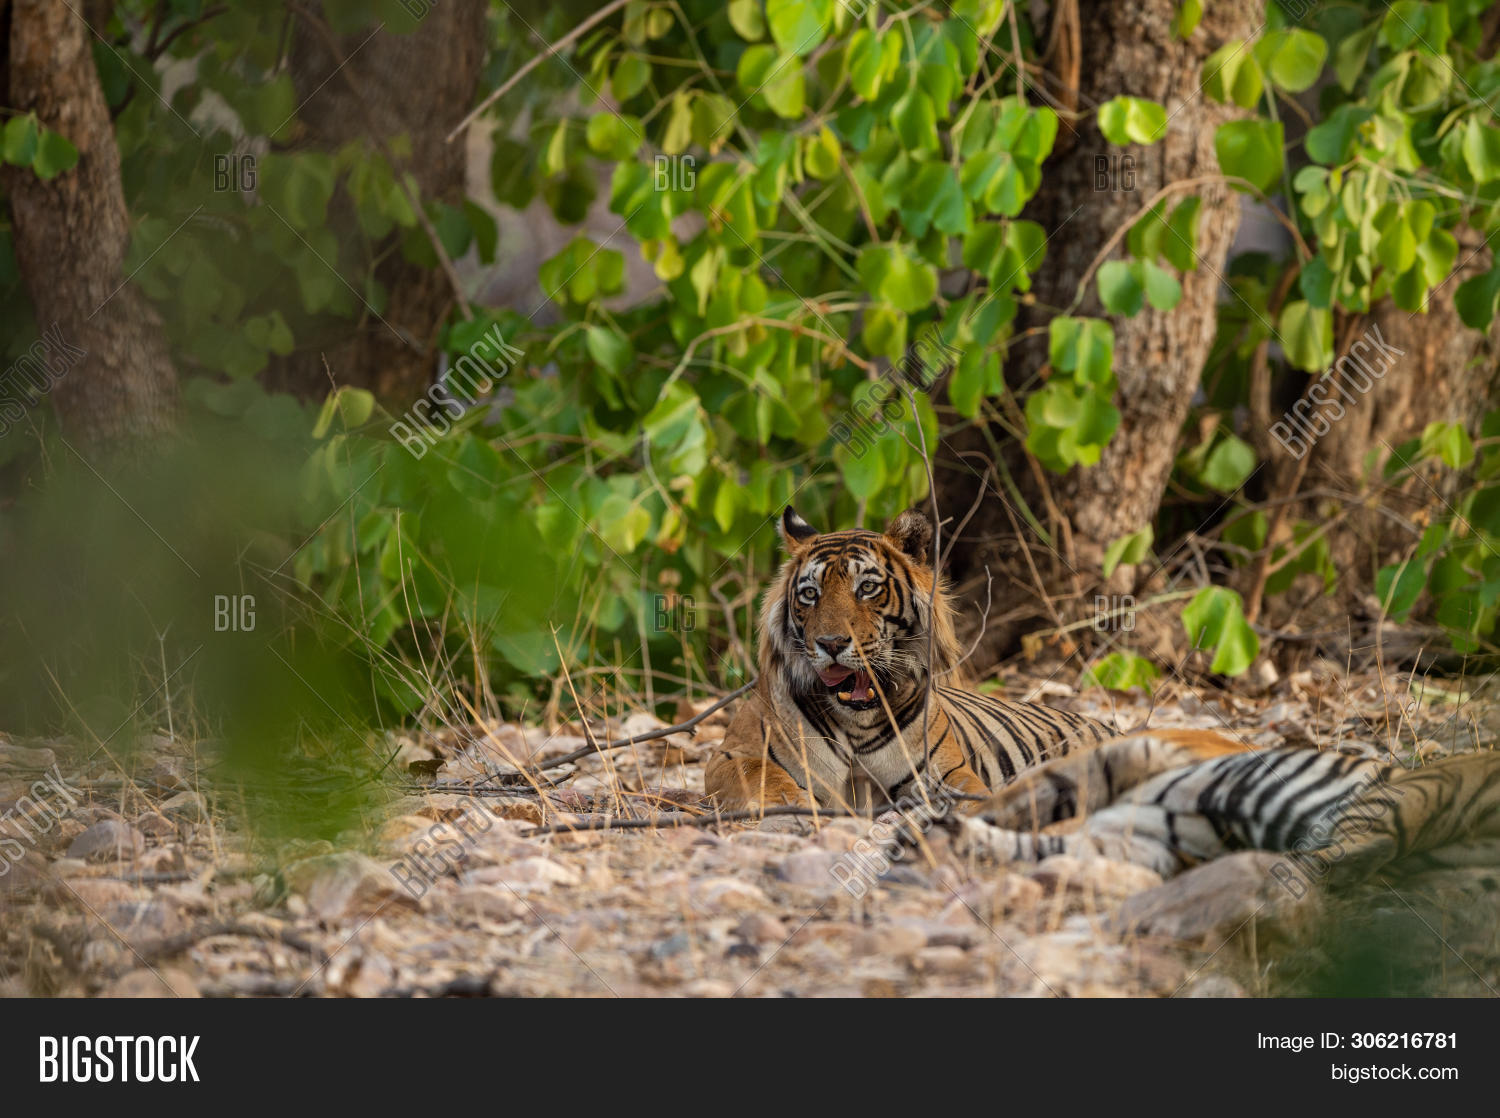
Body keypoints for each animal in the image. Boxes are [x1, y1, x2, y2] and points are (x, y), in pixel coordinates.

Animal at [704, 505, 1110, 814]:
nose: (831, 643)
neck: (856, 722)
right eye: (809, 593)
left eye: (867, 588)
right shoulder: (729, 754)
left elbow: (971, 793)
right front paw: (792, 802)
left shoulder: (944, 770)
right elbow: (760, 774)